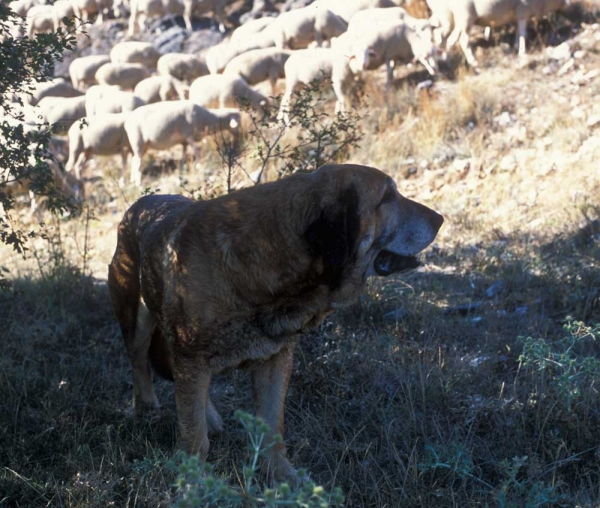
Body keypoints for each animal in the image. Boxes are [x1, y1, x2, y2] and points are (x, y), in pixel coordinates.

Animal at [109, 165, 446, 482]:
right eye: (387, 197)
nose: (441, 219)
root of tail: (138, 205)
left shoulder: (275, 360)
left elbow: (272, 428)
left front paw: (283, 477)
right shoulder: (192, 358)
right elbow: (194, 437)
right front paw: (195, 484)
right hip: (136, 318)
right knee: (140, 364)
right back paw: (146, 410)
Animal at [426, 0, 572, 67]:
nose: (571, 6)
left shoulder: (516, 16)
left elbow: (518, 34)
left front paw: (515, 47)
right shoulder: (522, 12)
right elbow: (523, 34)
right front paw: (522, 52)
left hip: (451, 18)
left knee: (441, 35)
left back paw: (444, 59)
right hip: (464, 17)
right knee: (460, 40)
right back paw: (470, 61)